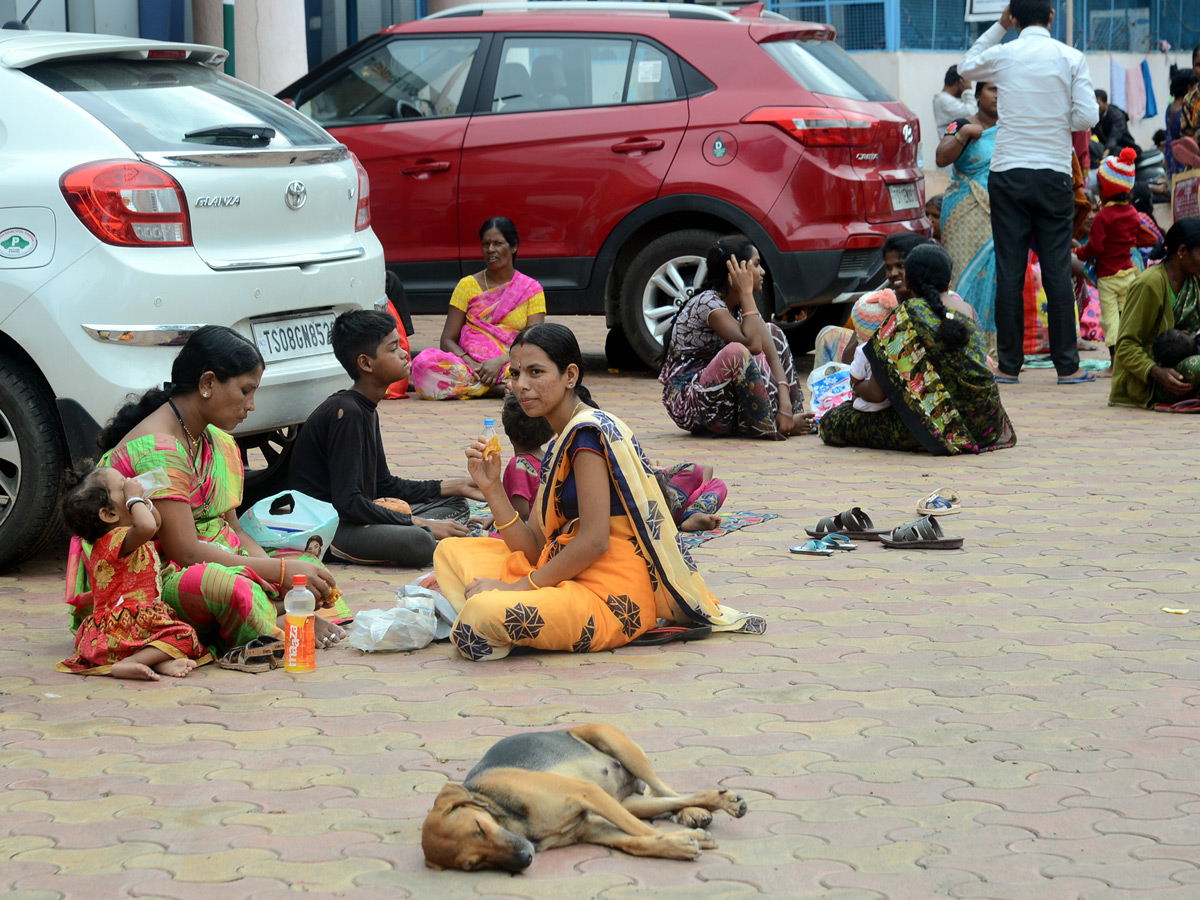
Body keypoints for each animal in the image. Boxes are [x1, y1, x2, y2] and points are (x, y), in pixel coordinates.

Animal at [417, 724, 744, 873]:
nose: (525, 859)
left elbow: (640, 829)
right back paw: (708, 805)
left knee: (667, 790)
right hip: (628, 801)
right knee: (672, 800)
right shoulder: (593, 828)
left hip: (612, 742)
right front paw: (676, 846)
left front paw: (691, 838)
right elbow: (636, 841)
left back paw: (699, 812)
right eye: (473, 864)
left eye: (479, 827)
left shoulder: (586, 793)